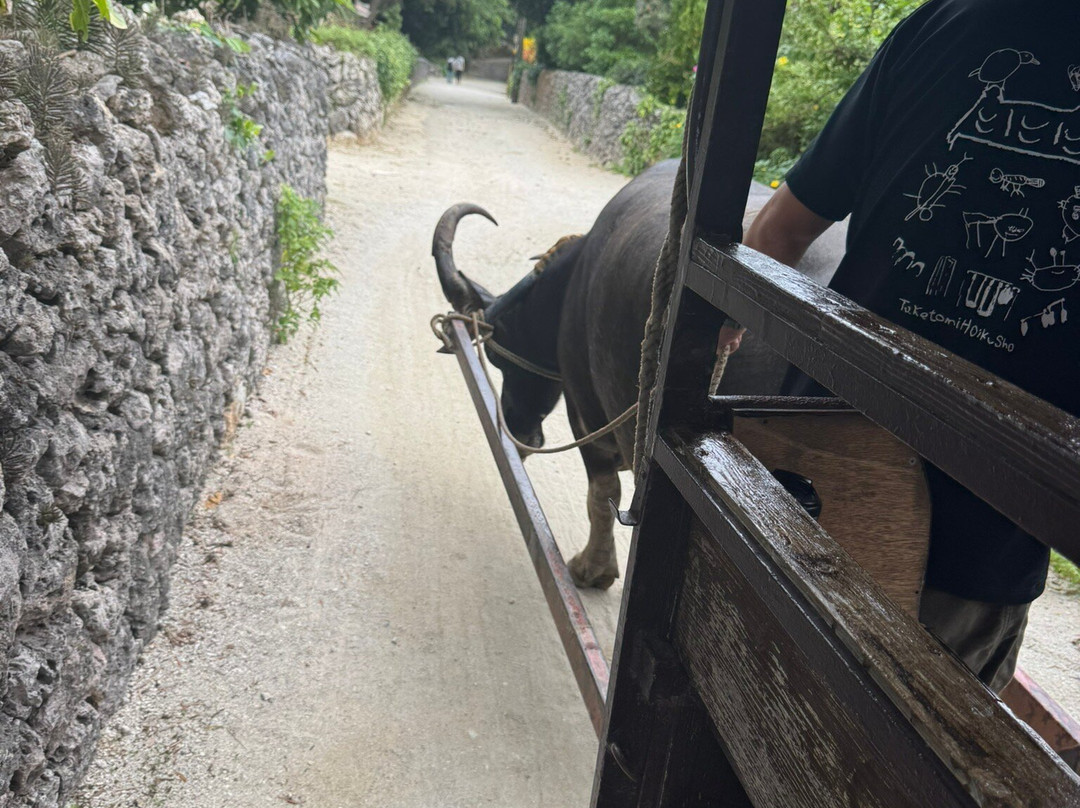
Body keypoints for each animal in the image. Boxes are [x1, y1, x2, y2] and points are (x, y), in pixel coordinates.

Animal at [433, 159, 846, 588]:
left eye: (498, 359)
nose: (517, 431)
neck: (571, 283)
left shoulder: (587, 417)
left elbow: (601, 495)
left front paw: (592, 569)